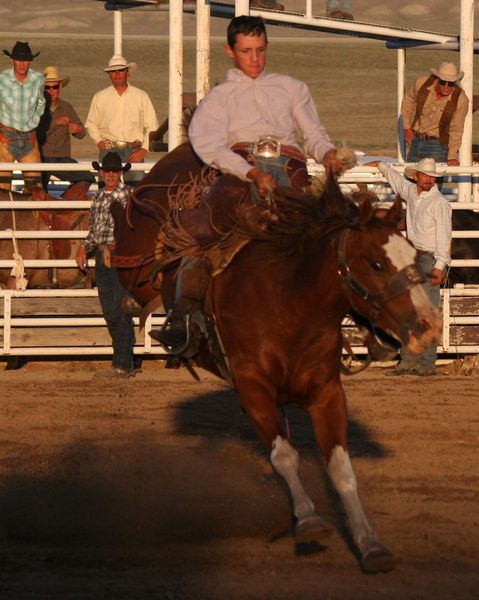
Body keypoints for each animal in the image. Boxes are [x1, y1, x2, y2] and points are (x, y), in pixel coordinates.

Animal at [111, 143, 442, 576]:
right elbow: (284, 454)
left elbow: (341, 469)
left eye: (415, 257)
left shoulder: (326, 393)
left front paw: (369, 543)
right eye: (376, 262)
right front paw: (310, 518)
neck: (289, 304)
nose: (429, 326)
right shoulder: (253, 388)